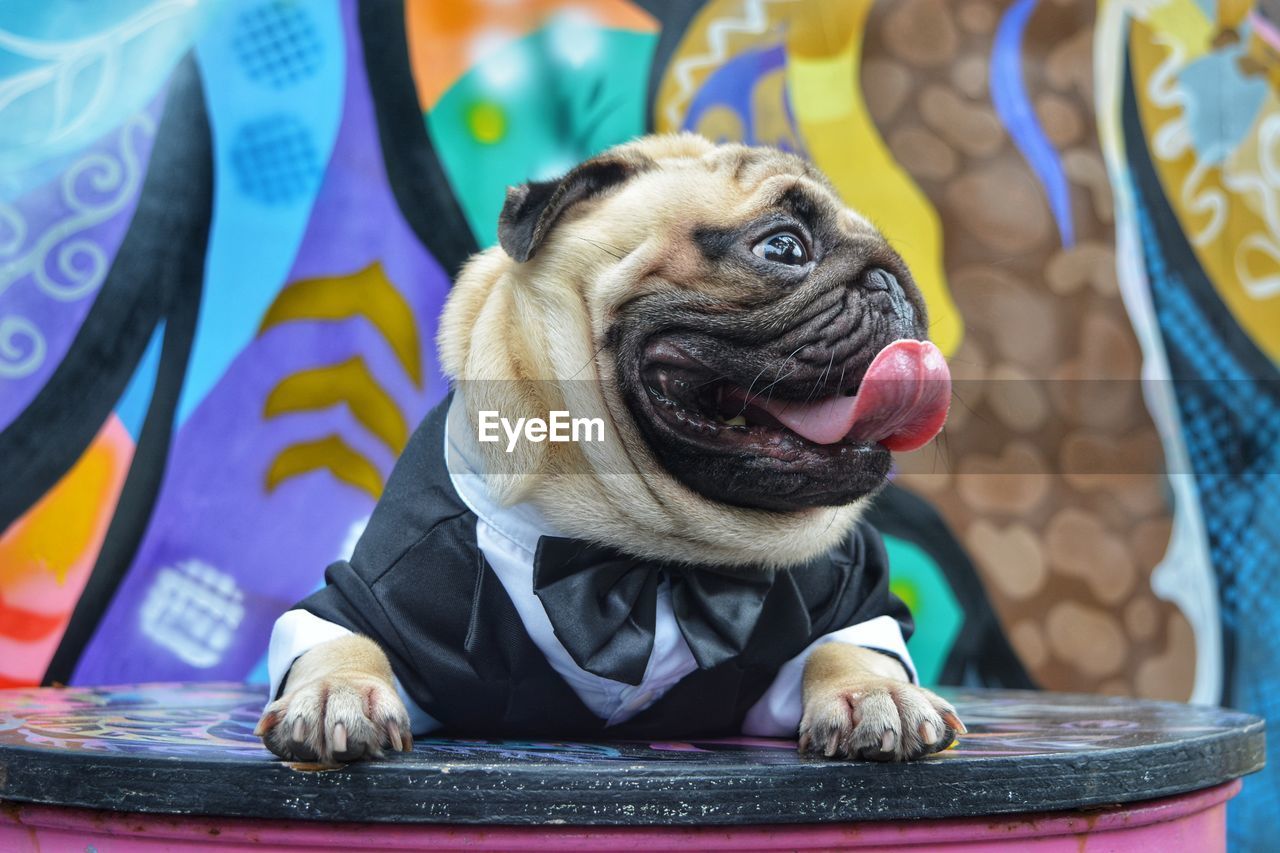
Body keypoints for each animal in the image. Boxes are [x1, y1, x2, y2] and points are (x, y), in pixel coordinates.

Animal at [257, 134, 962, 763]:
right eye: (783, 246)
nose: (891, 281)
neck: (651, 557)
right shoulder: (376, 592)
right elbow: (342, 643)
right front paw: (338, 693)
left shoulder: (853, 594)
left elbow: (849, 649)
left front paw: (875, 696)